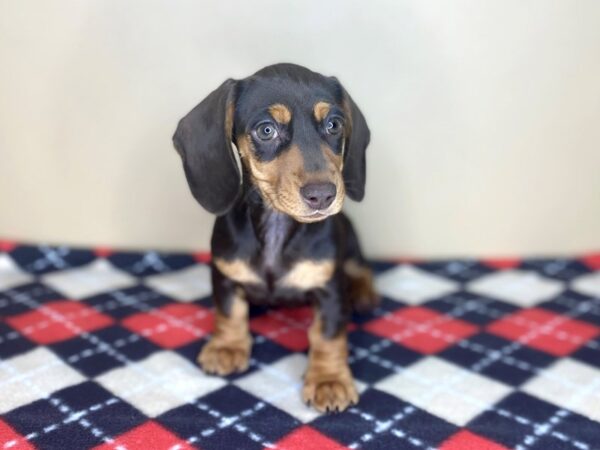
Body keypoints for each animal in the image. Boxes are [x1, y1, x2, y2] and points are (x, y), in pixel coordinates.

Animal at [173, 63, 378, 412]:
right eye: (266, 130)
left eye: (334, 124)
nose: (323, 195)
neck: (277, 226)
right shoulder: (224, 274)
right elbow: (228, 312)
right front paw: (227, 347)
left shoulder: (331, 289)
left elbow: (327, 336)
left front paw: (329, 380)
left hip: (350, 245)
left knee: (360, 267)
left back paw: (364, 292)